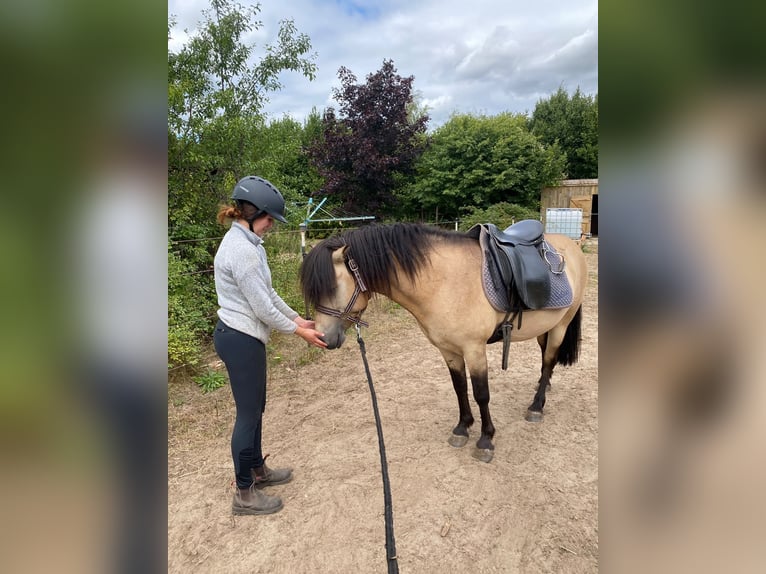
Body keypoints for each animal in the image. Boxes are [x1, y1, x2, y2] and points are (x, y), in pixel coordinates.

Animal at [299, 222, 587, 462]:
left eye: (332, 287)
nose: (323, 338)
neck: (444, 282)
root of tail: (571, 245)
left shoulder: (474, 349)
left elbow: (481, 394)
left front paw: (486, 440)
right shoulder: (448, 350)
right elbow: (459, 388)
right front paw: (462, 428)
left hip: (561, 325)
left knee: (549, 360)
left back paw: (536, 406)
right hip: (544, 328)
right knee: (545, 359)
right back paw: (543, 388)